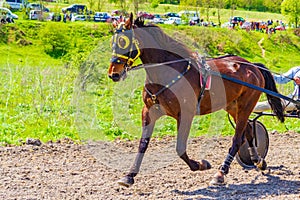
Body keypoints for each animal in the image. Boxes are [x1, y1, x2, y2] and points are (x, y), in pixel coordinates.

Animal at [107, 13, 284, 186]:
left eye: (123, 41)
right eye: (112, 41)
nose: (113, 74)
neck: (167, 73)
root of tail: (253, 66)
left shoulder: (185, 114)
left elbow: (180, 148)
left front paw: (200, 164)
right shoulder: (149, 111)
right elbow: (143, 143)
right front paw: (129, 175)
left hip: (246, 105)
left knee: (237, 138)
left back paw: (221, 172)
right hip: (234, 107)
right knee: (248, 132)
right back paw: (258, 160)